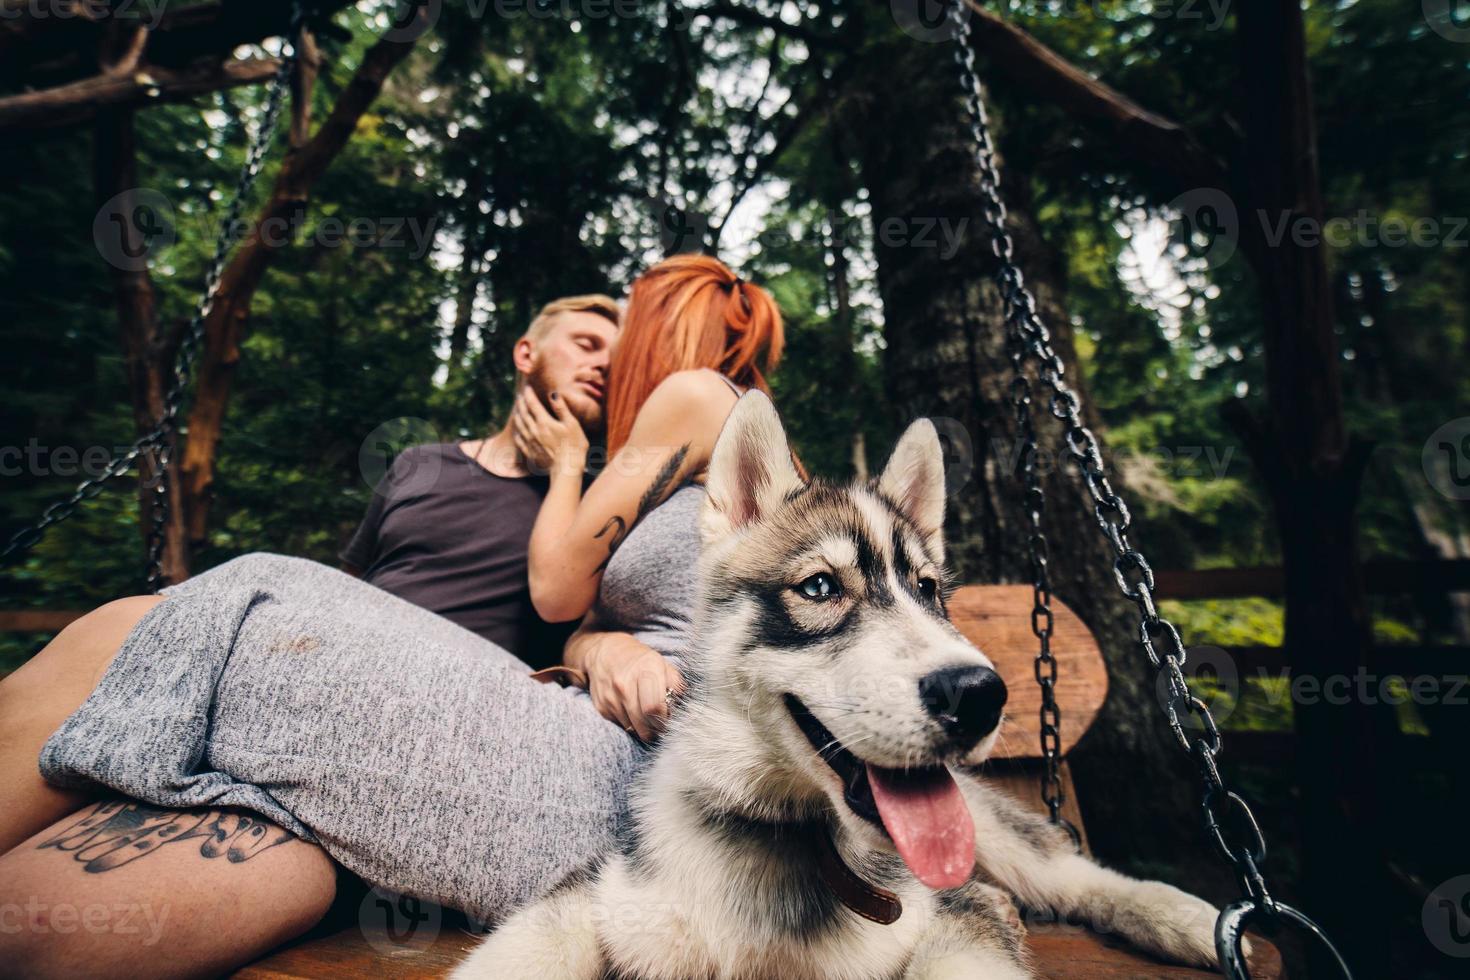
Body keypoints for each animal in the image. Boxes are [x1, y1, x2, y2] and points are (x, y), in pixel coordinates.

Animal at [455, 393, 1217, 980]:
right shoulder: (599, 892)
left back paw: (1190, 918)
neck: (796, 840)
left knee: (1069, 872)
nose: (978, 694)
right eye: (820, 587)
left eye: (929, 591)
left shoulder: (950, 915)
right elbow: (524, 947)